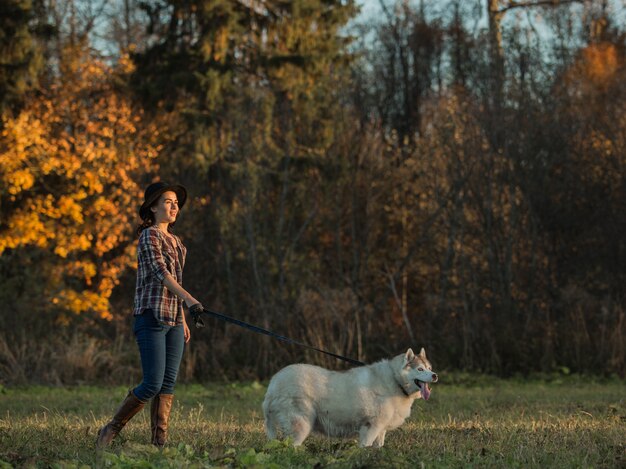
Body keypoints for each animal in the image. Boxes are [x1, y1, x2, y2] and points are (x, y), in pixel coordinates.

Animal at [260, 348, 436, 446]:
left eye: (429, 368)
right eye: (420, 369)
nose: (435, 375)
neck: (395, 379)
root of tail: (273, 384)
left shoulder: (380, 430)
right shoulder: (371, 427)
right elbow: (365, 447)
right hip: (301, 425)